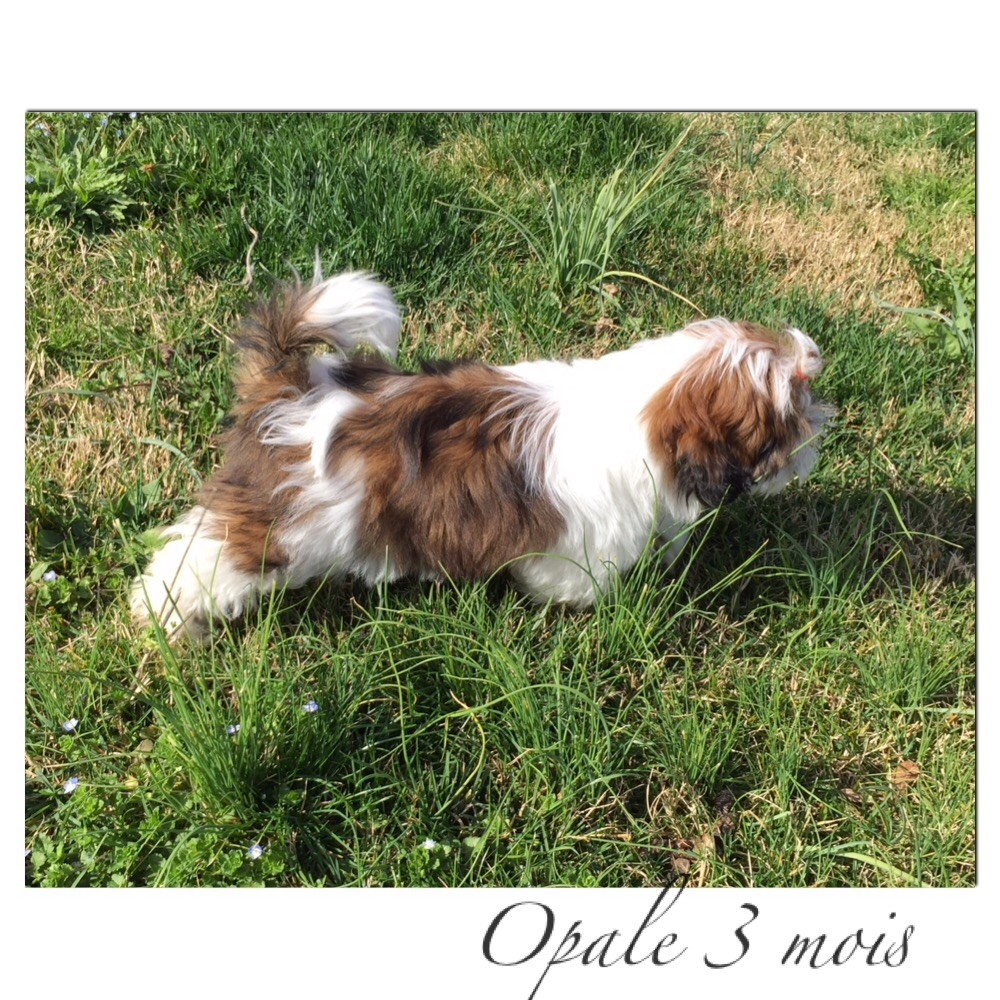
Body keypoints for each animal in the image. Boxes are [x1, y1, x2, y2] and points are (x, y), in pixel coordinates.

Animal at [131, 271, 832, 641]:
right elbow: (570, 579)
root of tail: (296, 385)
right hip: (281, 523)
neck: (644, 408)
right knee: (200, 560)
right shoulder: (579, 542)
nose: (821, 431)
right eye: (791, 412)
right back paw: (166, 620)